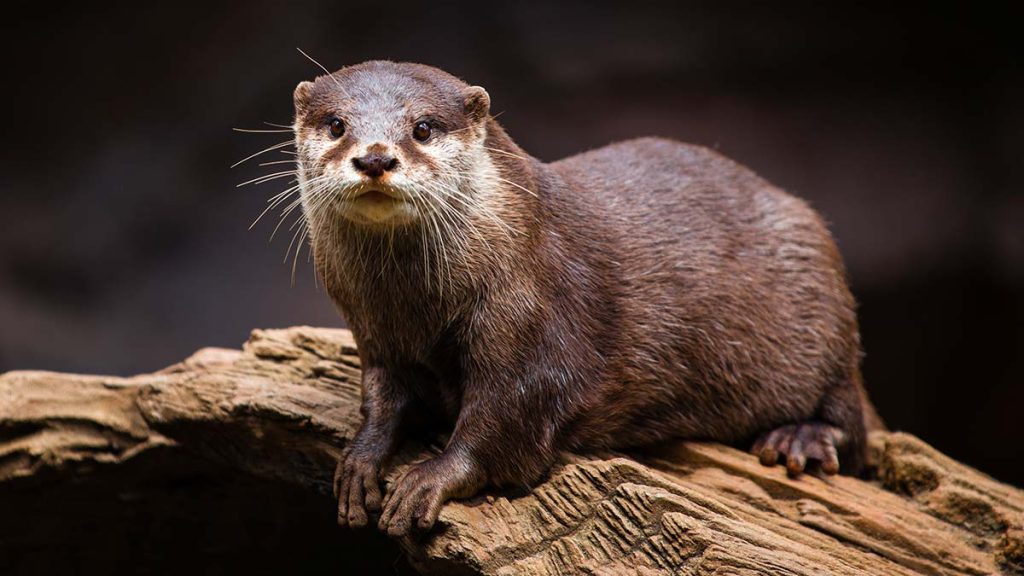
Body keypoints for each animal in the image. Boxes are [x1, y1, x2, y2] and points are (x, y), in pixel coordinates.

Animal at [289, 61, 875, 537]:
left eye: (423, 128)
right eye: (337, 125)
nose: (374, 158)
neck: (417, 308)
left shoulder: (530, 318)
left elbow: (504, 423)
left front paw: (430, 478)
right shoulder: (376, 335)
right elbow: (382, 399)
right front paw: (360, 460)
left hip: (823, 310)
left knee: (851, 417)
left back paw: (799, 439)